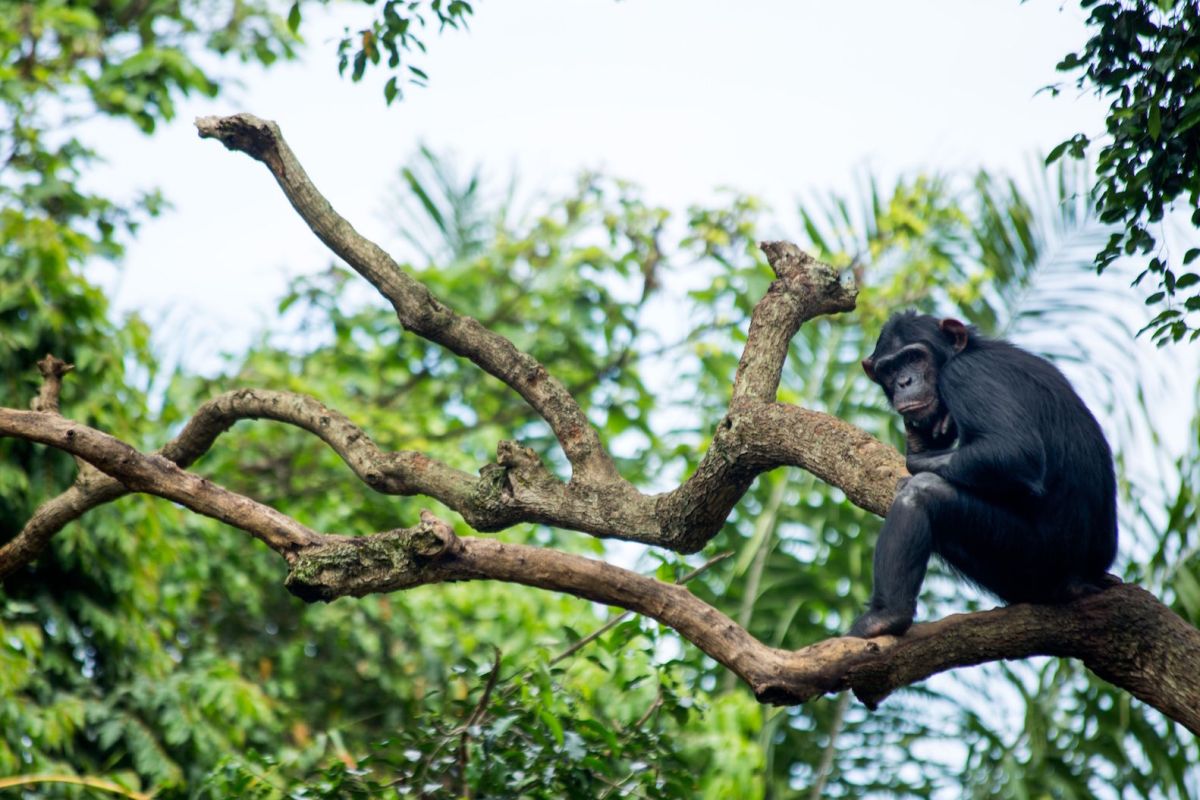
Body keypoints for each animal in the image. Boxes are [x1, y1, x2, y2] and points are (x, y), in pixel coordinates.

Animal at [849, 311, 1118, 638]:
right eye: (890, 368)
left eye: (914, 357)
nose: (904, 381)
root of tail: (1086, 576)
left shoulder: (966, 376)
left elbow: (1013, 451)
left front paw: (917, 458)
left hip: (1033, 555)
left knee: (922, 494)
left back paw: (886, 617)